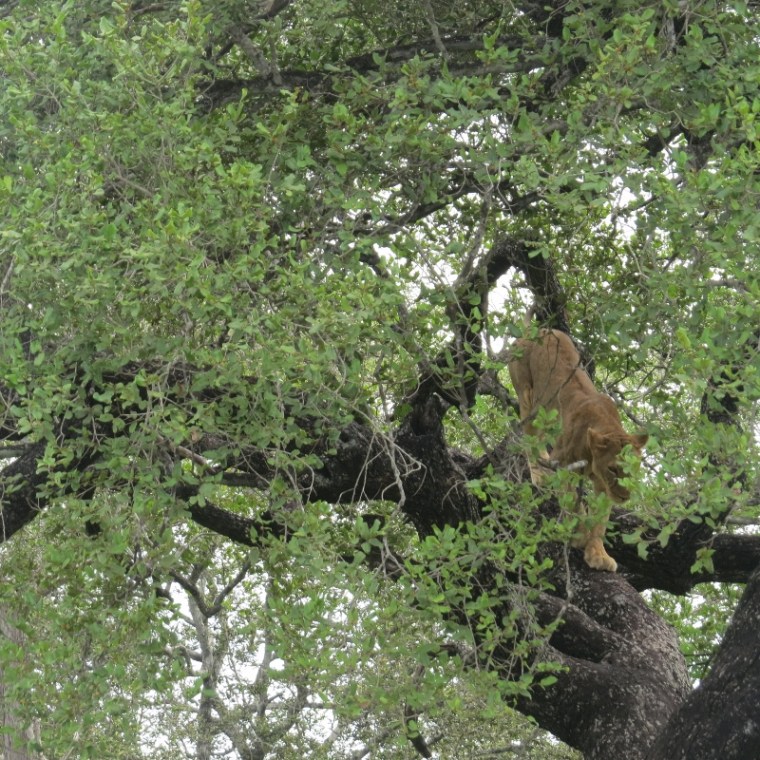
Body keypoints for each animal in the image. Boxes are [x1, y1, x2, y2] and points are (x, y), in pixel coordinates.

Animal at [508, 329, 648, 572]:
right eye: (613, 469)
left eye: (634, 470)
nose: (624, 496)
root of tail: (538, 329)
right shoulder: (565, 466)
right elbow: (574, 502)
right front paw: (579, 536)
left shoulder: (603, 487)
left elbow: (600, 522)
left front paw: (598, 554)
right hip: (527, 396)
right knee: (530, 438)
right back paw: (540, 474)